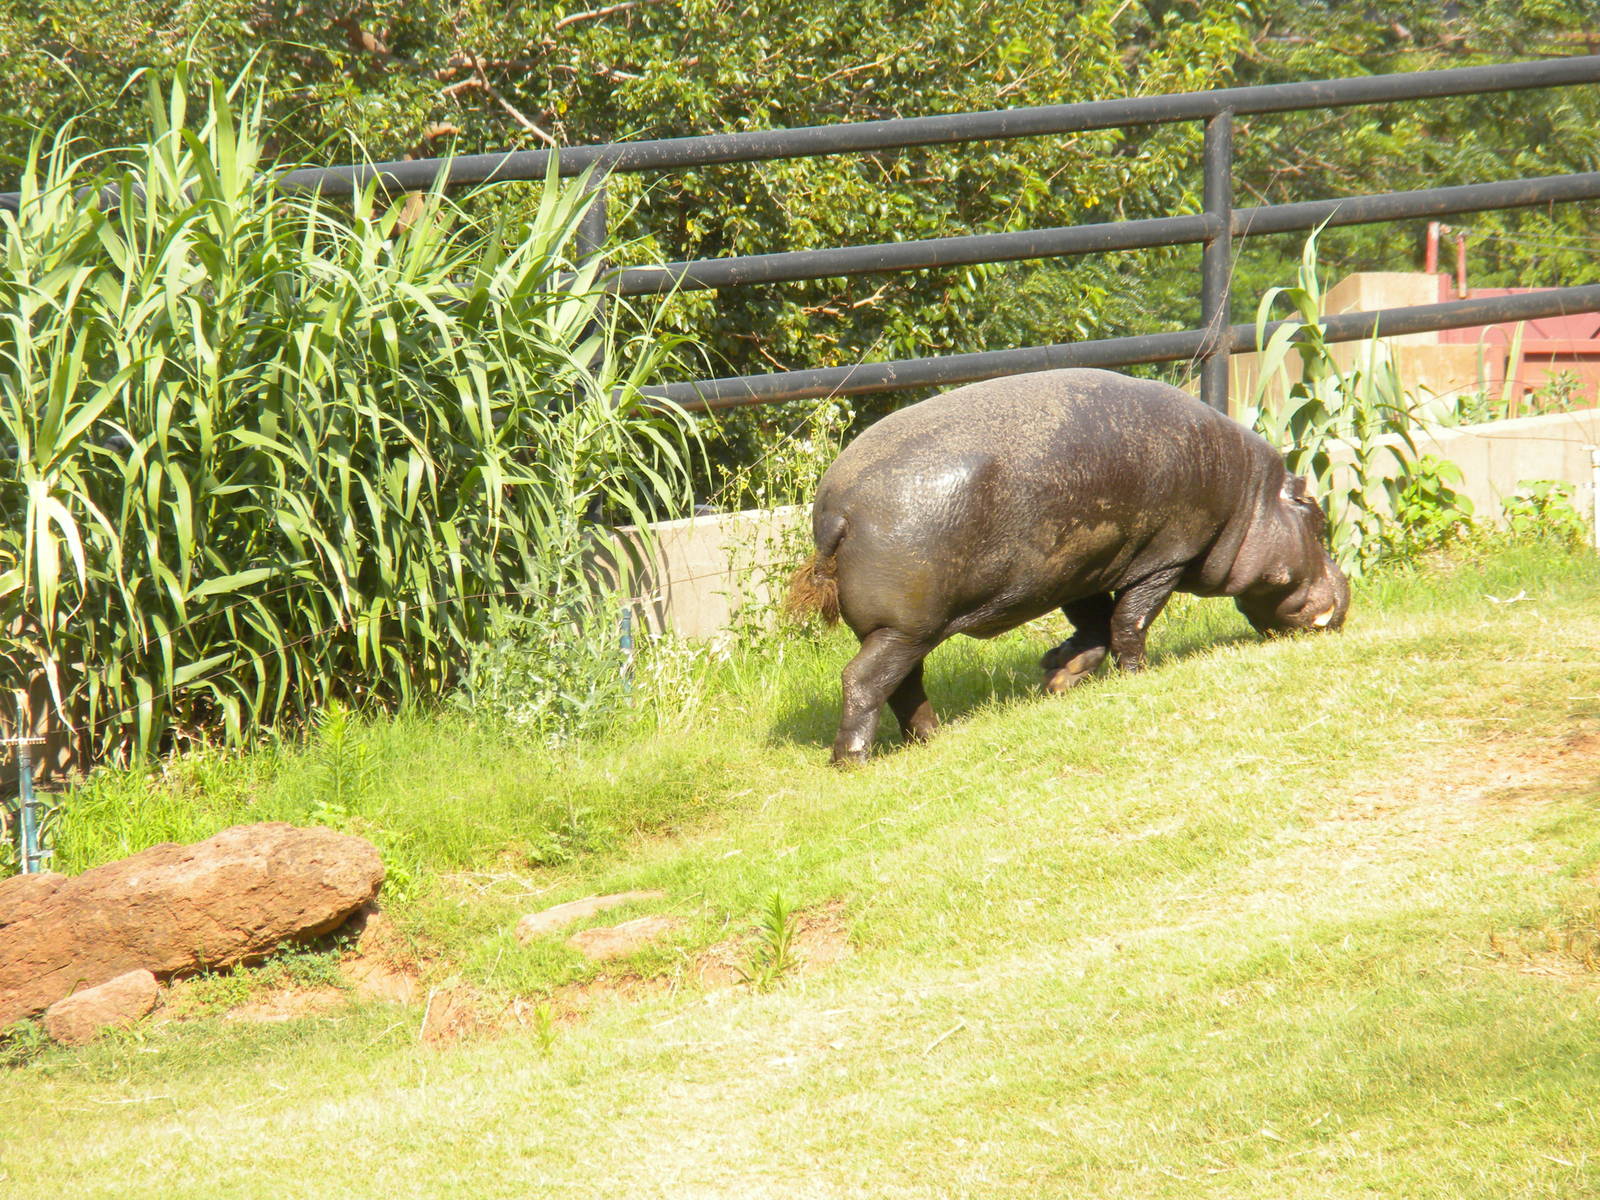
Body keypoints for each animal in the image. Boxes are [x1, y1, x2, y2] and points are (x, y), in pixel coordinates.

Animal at [786, 368, 1350, 765]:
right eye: (1316, 513)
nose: (1344, 592)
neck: (1250, 500)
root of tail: (836, 508)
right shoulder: (1165, 560)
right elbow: (1131, 621)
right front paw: (1135, 676)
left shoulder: (1083, 567)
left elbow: (1095, 625)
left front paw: (1058, 675)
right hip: (905, 628)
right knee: (864, 680)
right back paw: (853, 759)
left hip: (900, 631)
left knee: (902, 684)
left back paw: (932, 737)